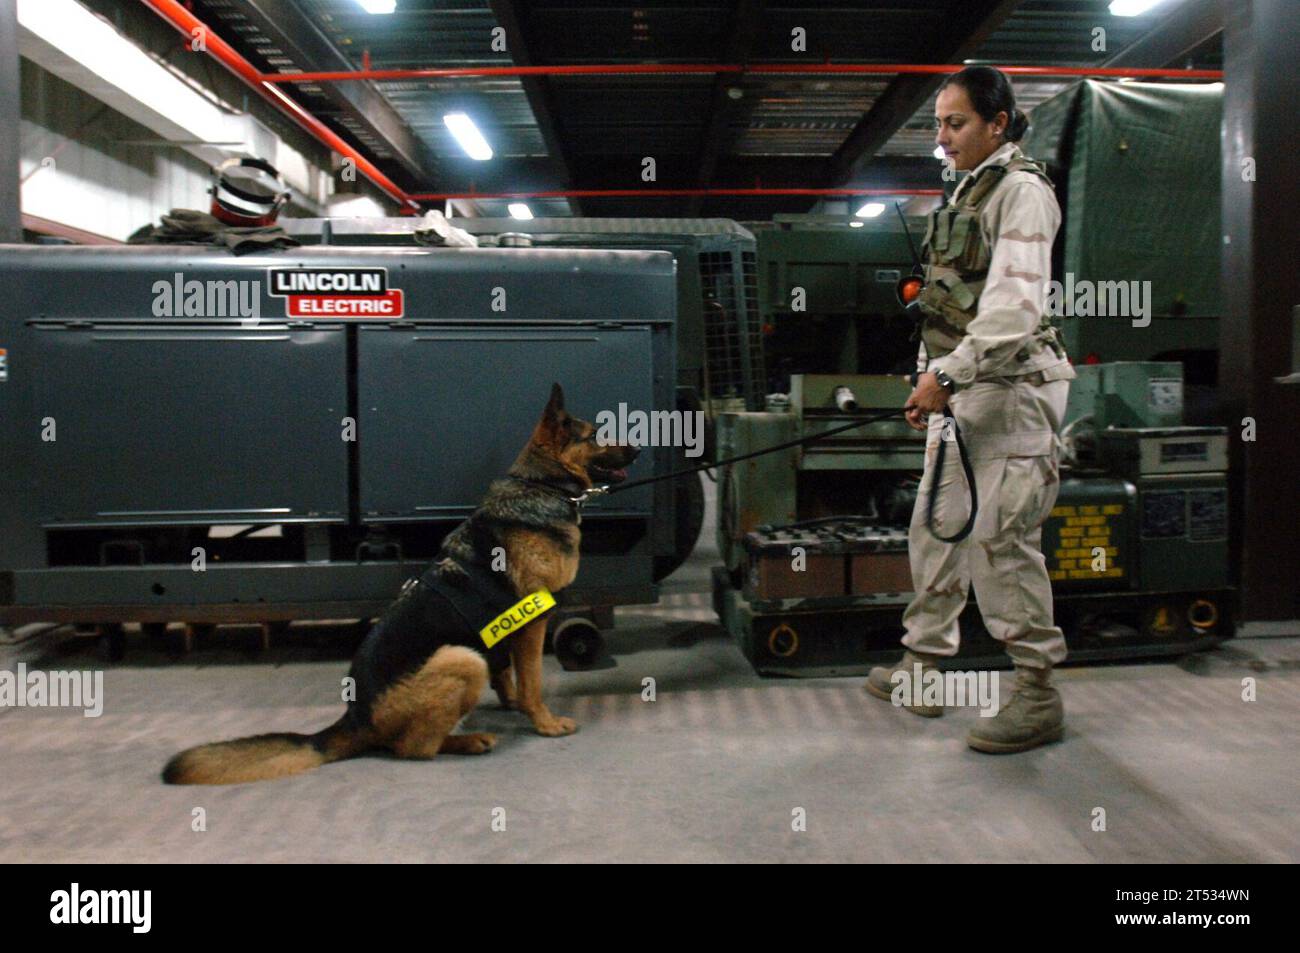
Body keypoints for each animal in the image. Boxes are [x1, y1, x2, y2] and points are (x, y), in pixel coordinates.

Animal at [162, 382, 639, 785]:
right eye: (597, 434)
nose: (637, 449)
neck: (541, 484)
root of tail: (356, 718)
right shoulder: (533, 623)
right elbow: (533, 681)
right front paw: (544, 722)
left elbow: (506, 672)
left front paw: (511, 703)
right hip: (462, 658)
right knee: (413, 748)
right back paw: (467, 740)